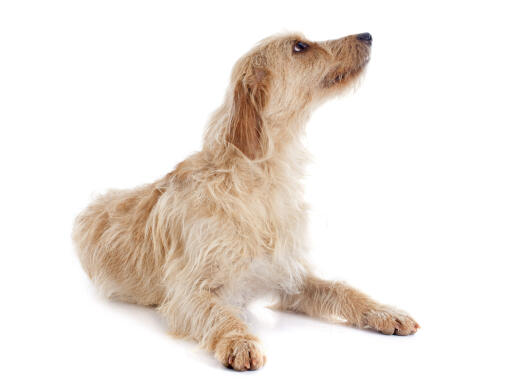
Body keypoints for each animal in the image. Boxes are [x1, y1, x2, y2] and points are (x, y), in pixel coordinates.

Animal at [75, 32, 420, 368]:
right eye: (300, 46)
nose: (367, 35)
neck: (259, 182)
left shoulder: (291, 278)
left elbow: (340, 288)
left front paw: (384, 311)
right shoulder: (189, 290)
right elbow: (218, 313)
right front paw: (239, 341)